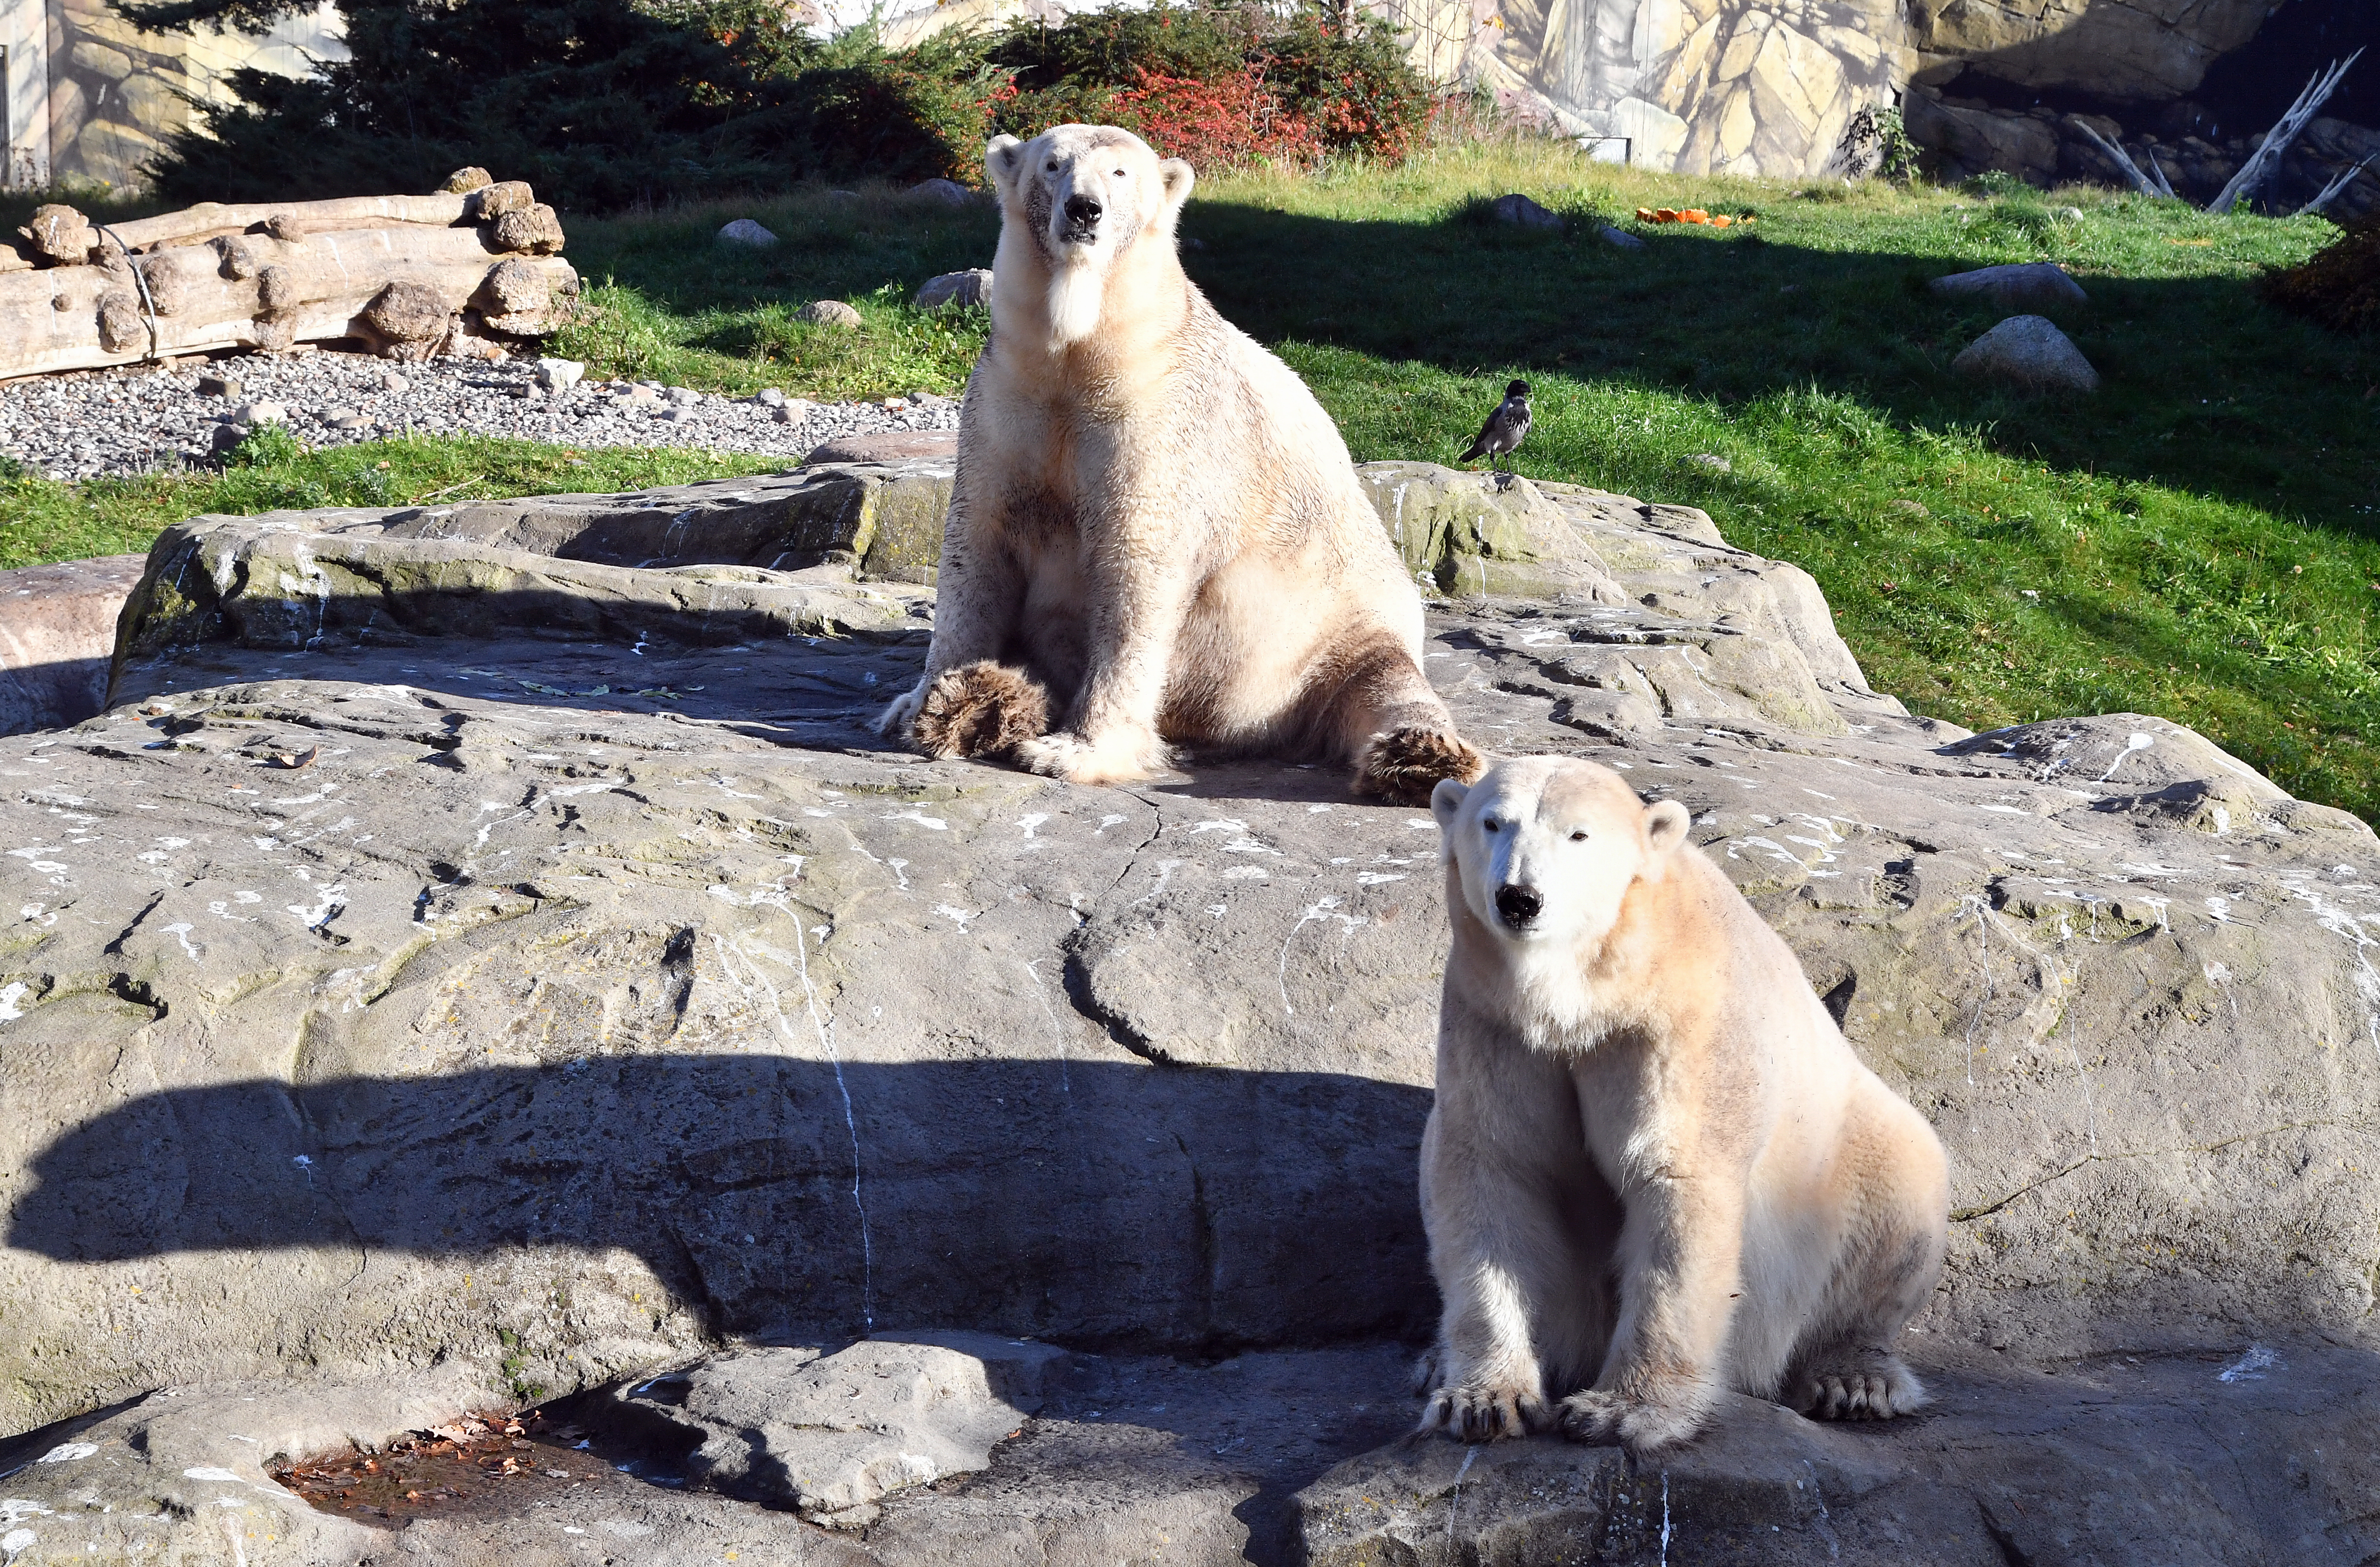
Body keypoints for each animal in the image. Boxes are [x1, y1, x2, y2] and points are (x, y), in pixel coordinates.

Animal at [873, 123, 1483, 806]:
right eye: (1052, 165)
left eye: (1120, 174)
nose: (1083, 209)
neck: (1088, 352)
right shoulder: (1005, 398)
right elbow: (977, 545)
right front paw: (925, 705)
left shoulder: (1160, 416)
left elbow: (1138, 567)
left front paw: (1074, 751)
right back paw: (987, 705)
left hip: (1338, 624)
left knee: (1383, 682)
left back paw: (1417, 757)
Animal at [1416, 754, 1949, 1455]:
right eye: (1492, 823)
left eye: (1578, 834)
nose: (1520, 899)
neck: (1587, 996)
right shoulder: (1494, 1022)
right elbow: (1493, 1171)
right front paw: (1481, 1400)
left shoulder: (1681, 1026)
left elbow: (1676, 1184)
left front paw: (1621, 1411)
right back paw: (1432, 1359)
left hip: (1849, 1151)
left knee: (1895, 1203)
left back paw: (1854, 1379)